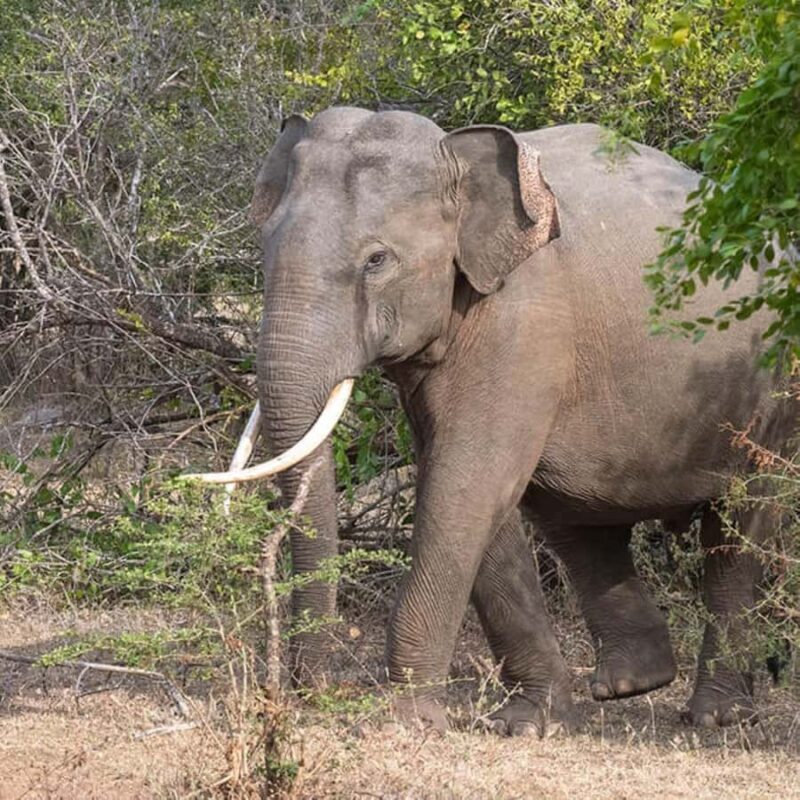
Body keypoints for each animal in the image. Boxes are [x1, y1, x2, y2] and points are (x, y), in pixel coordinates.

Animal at [193, 107, 794, 735]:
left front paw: (406, 722)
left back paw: (715, 715)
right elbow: (474, 490)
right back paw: (632, 683)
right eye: (263, 248)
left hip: (773, 383)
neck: (455, 155)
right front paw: (527, 725)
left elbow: (465, 484)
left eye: (378, 261)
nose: (314, 692)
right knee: (573, 514)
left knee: (741, 525)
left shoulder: (520, 318)